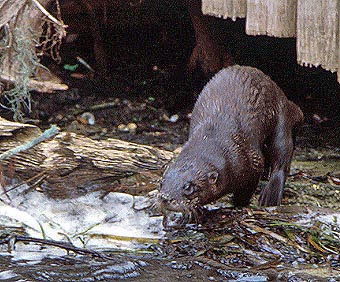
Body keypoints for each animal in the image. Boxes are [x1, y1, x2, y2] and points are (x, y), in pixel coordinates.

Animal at [158, 65, 304, 228]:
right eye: (161, 183)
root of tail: (279, 90)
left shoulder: (252, 161)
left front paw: (237, 204)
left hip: (279, 118)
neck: (212, 137)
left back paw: (270, 195)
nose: (165, 198)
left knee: (282, 154)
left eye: (188, 187)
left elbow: (246, 189)